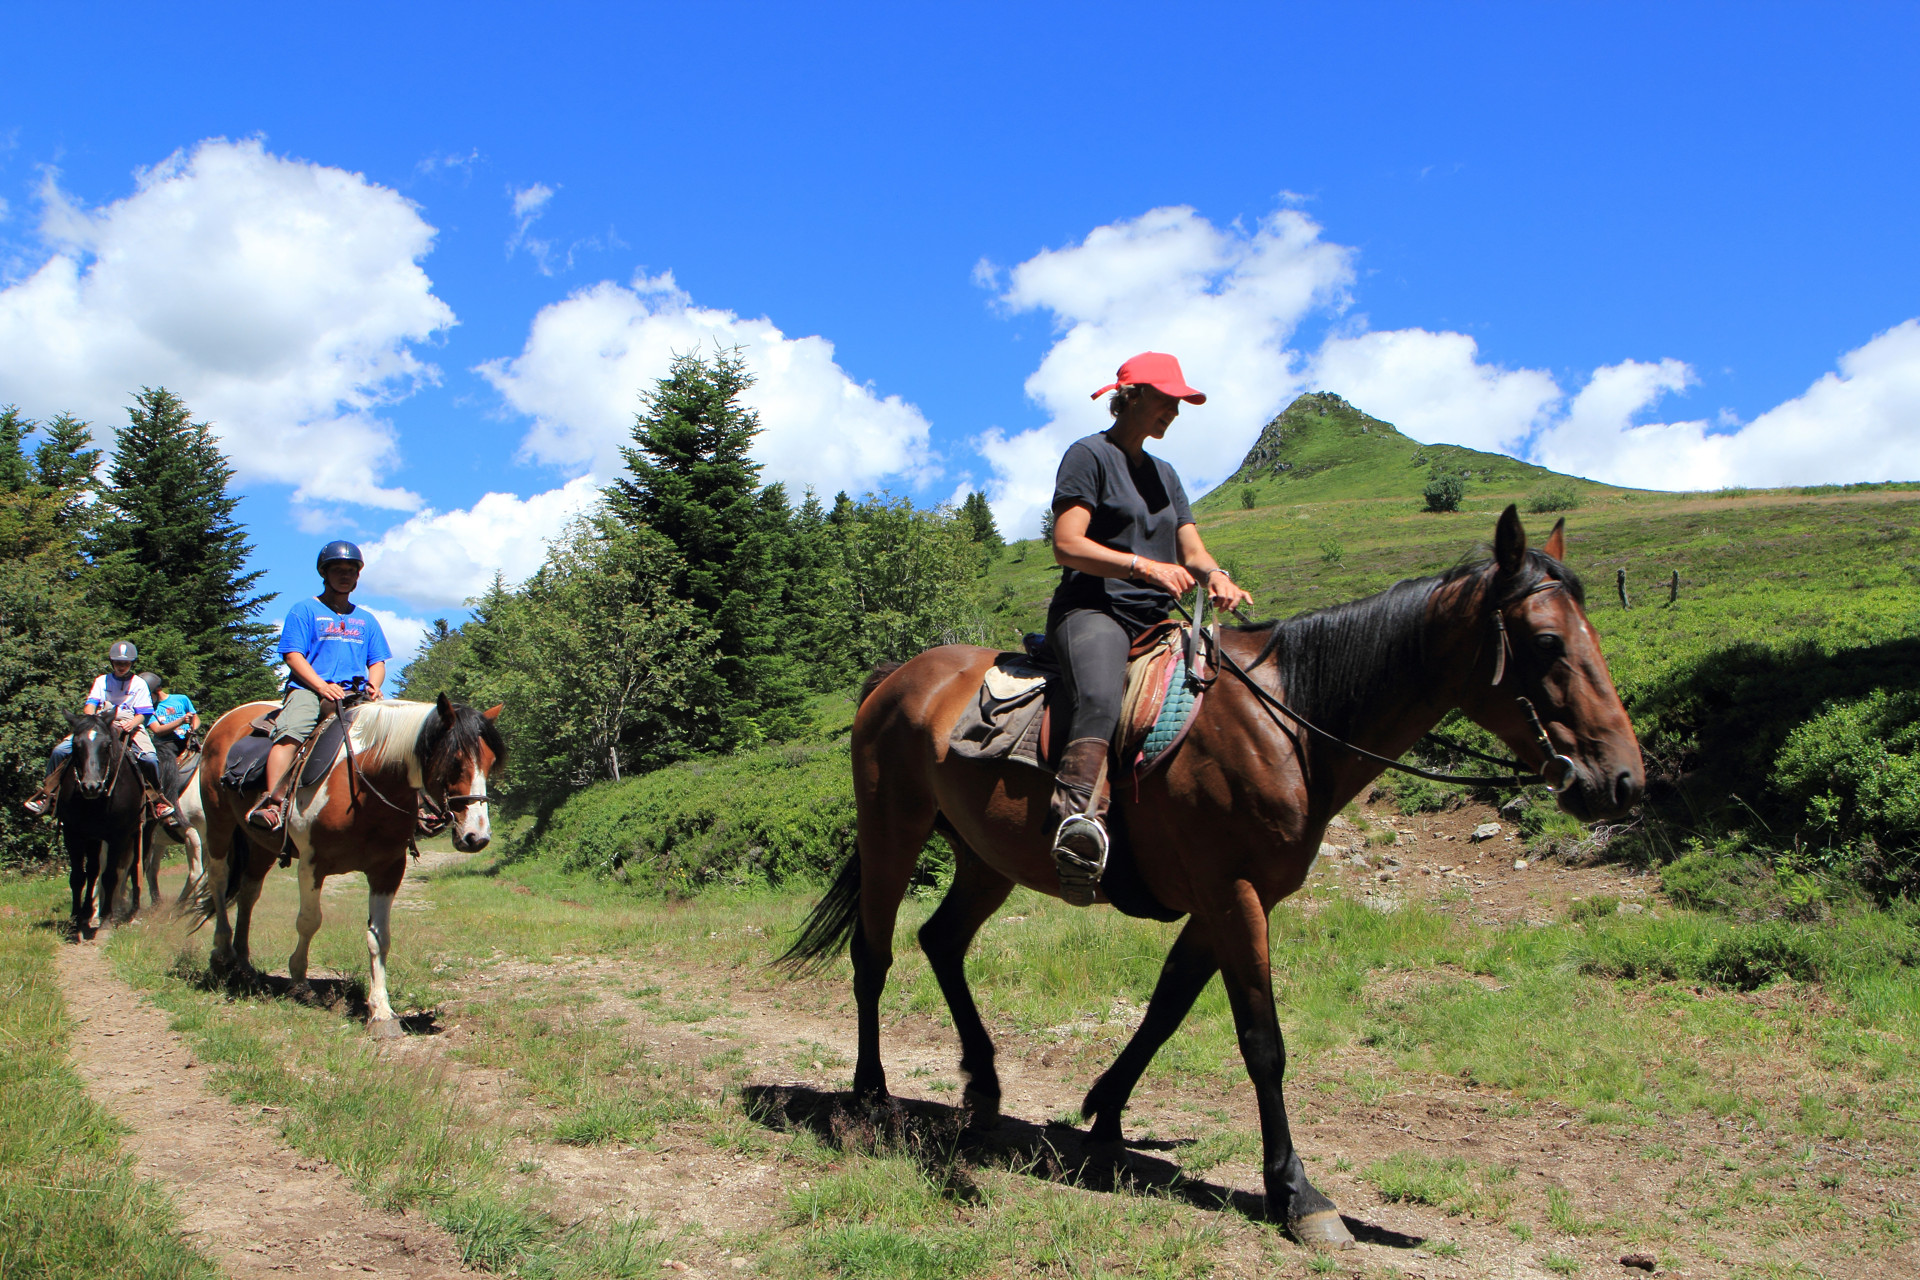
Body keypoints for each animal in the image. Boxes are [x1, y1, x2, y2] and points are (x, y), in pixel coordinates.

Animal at [56, 717, 148, 936]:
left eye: (107, 746)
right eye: (76, 745)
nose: (91, 786)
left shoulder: (117, 836)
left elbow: (110, 876)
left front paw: (106, 919)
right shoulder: (73, 834)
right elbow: (79, 877)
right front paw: (76, 918)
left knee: (134, 870)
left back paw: (129, 911)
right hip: (94, 839)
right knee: (93, 872)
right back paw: (88, 913)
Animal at [196, 694, 503, 1036]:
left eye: (490, 763)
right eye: (455, 762)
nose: (477, 837)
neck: (364, 786)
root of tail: (227, 720)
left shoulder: (387, 869)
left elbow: (379, 937)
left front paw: (381, 1011)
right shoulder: (312, 863)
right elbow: (309, 921)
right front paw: (299, 980)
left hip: (259, 843)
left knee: (248, 894)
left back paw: (244, 964)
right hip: (218, 822)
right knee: (219, 880)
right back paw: (222, 953)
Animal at [783, 510, 1651, 1251]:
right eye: (1547, 641)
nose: (1621, 782)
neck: (1293, 723)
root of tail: (897, 677)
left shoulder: (1224, 901)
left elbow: (1166, 1009)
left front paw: (1104, 1116)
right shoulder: (1234, 896)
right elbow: (1263, 1043)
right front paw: (1298, 1195)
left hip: (986, 858)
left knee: (941, 941)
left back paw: (985, 1089)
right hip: (892, 831)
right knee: (874, 955)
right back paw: (870, 1095)